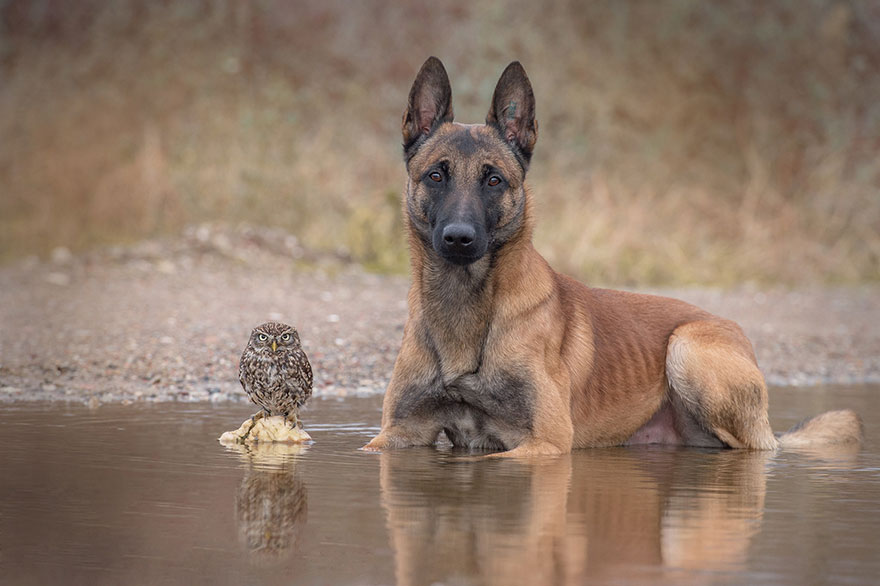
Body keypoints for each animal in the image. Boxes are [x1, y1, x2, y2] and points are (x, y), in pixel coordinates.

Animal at [362, 57, 860, 454]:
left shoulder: (545, 445)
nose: (459, 239)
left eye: (493, 180)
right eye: (436, 175)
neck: (465, 309)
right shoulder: (395, 437)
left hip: (687, 350)